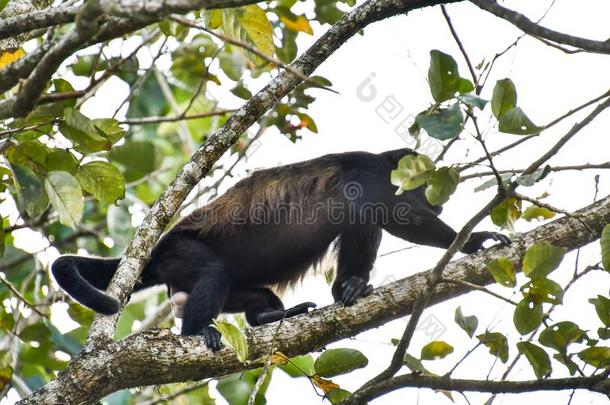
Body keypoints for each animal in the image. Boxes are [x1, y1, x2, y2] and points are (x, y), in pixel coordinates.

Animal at [51, 147, 508, 348]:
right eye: (429, 181)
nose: (441, 199)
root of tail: (157, 252)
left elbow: (363, 226)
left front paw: (350, 288)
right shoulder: (371, 176)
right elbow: (393, 218)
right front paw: (473, 240)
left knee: (249, 294)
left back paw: (272, 314)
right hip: (183, 251)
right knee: (213, 274)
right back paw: (196, 331)